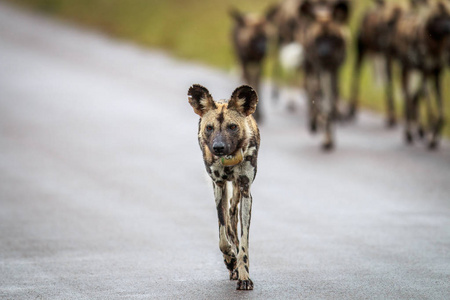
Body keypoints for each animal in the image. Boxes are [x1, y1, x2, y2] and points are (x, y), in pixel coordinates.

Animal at [187, 83, 260, 290]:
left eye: (232, 127)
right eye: (209, 128)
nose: (218, 147)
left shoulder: (245, 190)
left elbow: (244, 242)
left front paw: (244, 276)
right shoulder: (218, 185)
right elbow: (222, 237)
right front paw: (230, 260)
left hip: (237, 194)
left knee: (233, 217)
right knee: (228, 224)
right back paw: (231, 265)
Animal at [298, 0, 352, 150]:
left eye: (333, 38)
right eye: (318, 39)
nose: (325, 53)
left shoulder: (333, 70)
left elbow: (331, 103)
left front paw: (330, 137)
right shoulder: (320, 69)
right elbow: (321, 102)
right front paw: (326, 136)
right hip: (311, 69)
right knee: (312, 93)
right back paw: (314, 122)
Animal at [392, 0, 450, 149]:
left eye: (448, 16)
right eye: (436, 18)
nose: (448, 29)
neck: (434, 46)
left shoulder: (435, 75)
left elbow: (441, 113)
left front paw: (434, 137)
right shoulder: (425, 73)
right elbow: (430, 111)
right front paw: (432, 138)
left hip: (420, 75)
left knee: (414, 98)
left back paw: (419, 131)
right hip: (408, 70)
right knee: (408, 98)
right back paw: (409, 133)